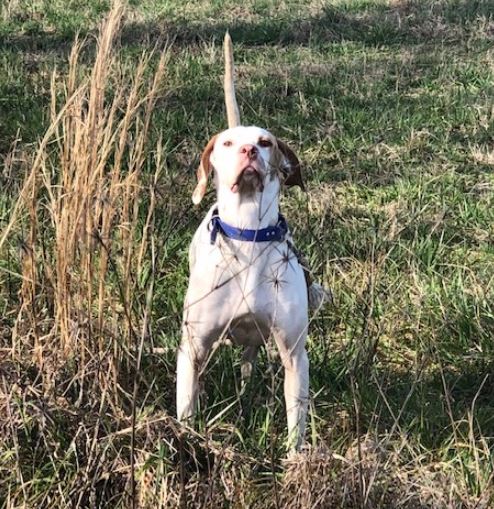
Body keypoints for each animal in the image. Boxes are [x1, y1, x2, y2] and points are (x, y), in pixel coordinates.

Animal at [177, 33, 312, 450]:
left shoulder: (294, 354)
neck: (249, 234)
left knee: (248, 365)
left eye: (266, 142)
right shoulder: (192, 349)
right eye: (227, 143)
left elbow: (296, 424)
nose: (249, 150)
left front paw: (296, 461)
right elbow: (186, 412)